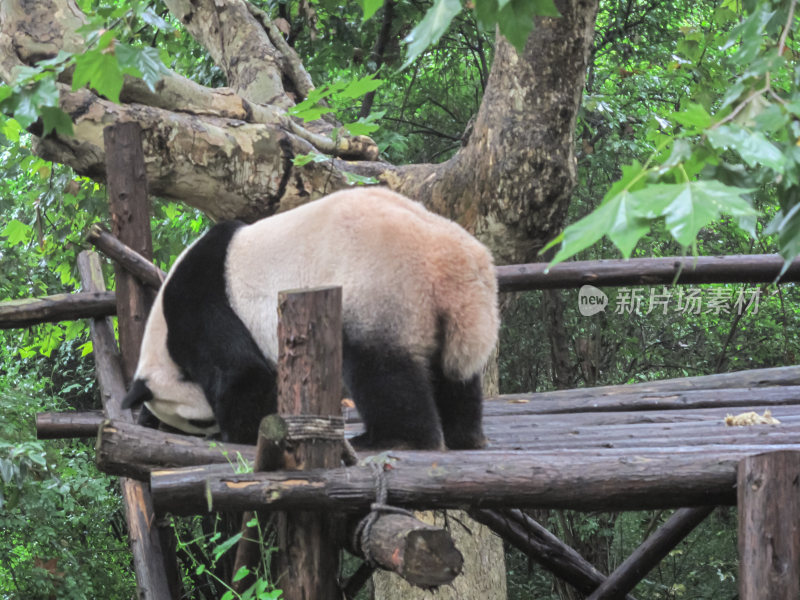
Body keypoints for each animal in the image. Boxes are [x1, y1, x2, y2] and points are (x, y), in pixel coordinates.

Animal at [121, 189, 496, 450]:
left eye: (197, 422)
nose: (209, 429)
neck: (161, 333)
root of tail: (453, 258)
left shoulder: (202, 306)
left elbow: (241, 373)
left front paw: (242, 431)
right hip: (443, 311)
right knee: (453, 374)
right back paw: (465, 435)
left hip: (381, 287)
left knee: (382, 369)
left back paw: (393, 439)